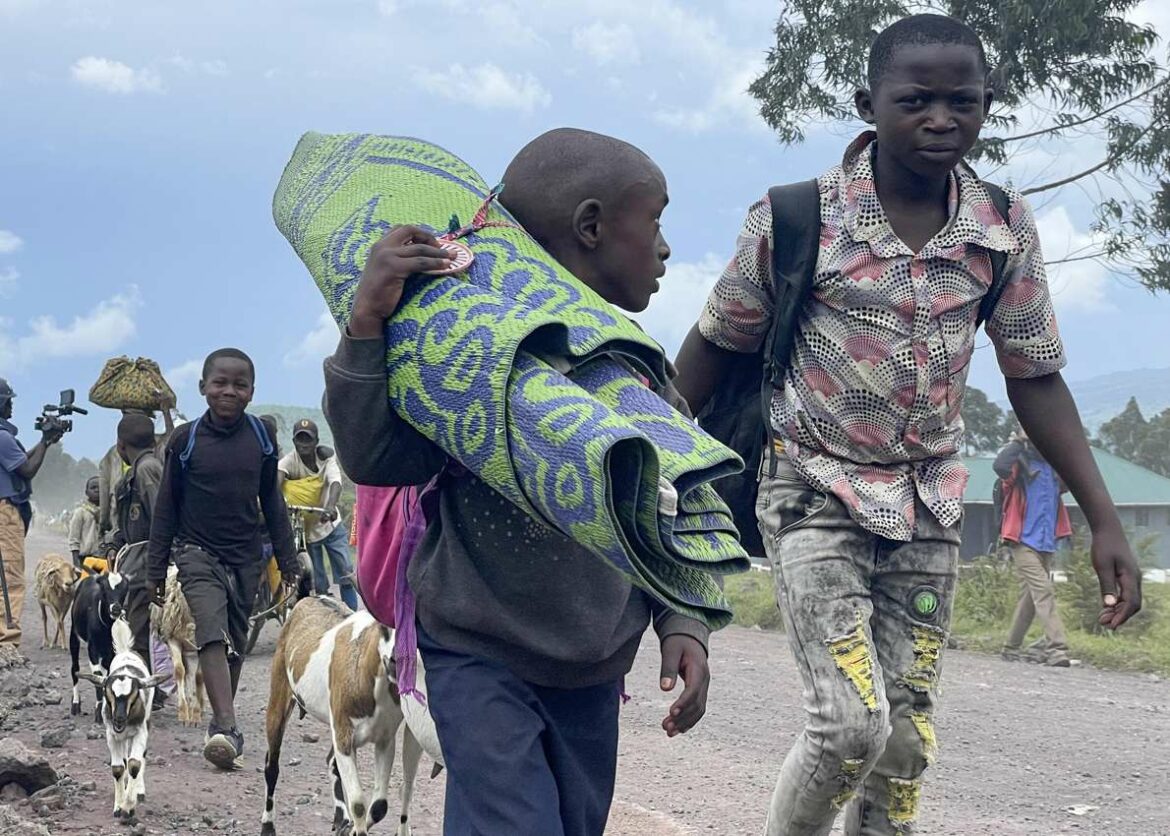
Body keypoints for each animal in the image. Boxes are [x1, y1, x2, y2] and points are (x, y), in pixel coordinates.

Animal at [69, 572, 129, 724]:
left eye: (124, 589)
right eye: (105, 590)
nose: (116, 608)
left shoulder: (112, 652)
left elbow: (107, 678)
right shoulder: (93, 650)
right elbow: (97, 677)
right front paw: (98, 713)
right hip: (74, 635)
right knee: (75, 669)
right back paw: (75, 704)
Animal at [78, 617, 167, 823]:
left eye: (132, 696)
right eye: (107, 693)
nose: (119, 719)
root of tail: (126, 651)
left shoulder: (140, 731)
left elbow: (135, 763)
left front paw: (128, 807)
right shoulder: (112, 734)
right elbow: (118, 768)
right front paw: (118, 806)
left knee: (140, 757)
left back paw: (138, 791)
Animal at [148, 565, 203, 729]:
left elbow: (199, 677)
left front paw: (196, 713)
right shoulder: (173, 640)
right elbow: (179, 671)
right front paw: (184, 713)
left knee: (195, 676)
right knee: (187, 674)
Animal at [260, 598, 442, 836]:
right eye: (383, 622)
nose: (397, 659)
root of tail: (307, 600)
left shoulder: (384, 739)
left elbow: (379, 806)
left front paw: (350, 829)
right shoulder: (344, 736)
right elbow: (358, 804)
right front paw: (354, 827)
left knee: (331, 761)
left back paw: (341, 818)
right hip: (279, 694)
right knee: (271, 765)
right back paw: (267, 825)